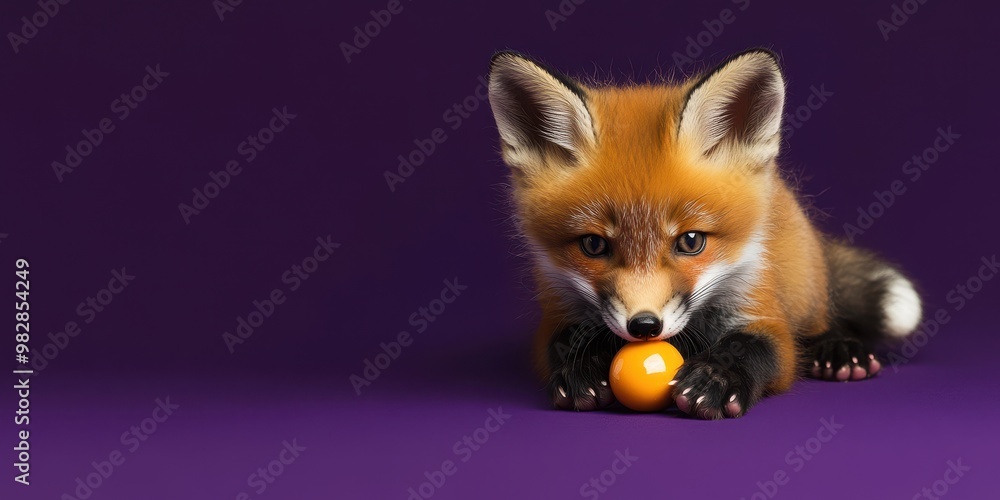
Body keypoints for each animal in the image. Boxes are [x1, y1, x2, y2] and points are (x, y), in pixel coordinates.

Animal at [486, 49, 923, 419]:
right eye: (593, 245)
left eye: (691, 241)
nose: (644, 327)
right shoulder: (555, 310)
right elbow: (564, 340)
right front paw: (582, 368)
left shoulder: (766, 315)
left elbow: (757, 348)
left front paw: (717, 378)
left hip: (803, 286)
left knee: (820, 319)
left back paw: (838, 350)